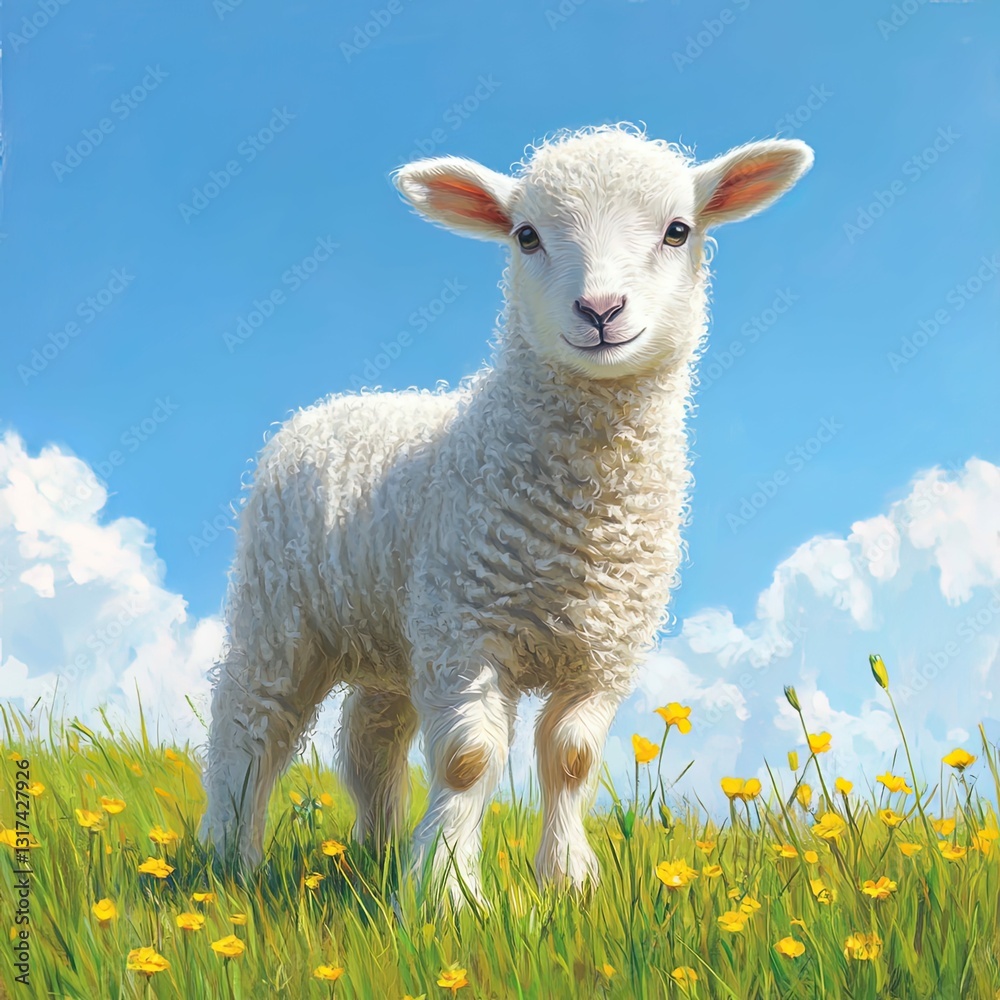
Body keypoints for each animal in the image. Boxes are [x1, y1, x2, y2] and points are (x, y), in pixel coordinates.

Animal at [199, 123, 813, 906]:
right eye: (526, 236)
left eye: (678, 230)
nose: (601, 310)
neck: (581, 522)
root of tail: (336, 405)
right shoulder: (469, 629)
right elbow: (467, 759)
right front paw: (447, 891)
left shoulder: (604, 650)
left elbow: (573, 759)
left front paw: (568, 881)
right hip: (283, 613)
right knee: (252, 724)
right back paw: (229, 854)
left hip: (395, 635)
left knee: (370, 738)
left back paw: (378, 849)